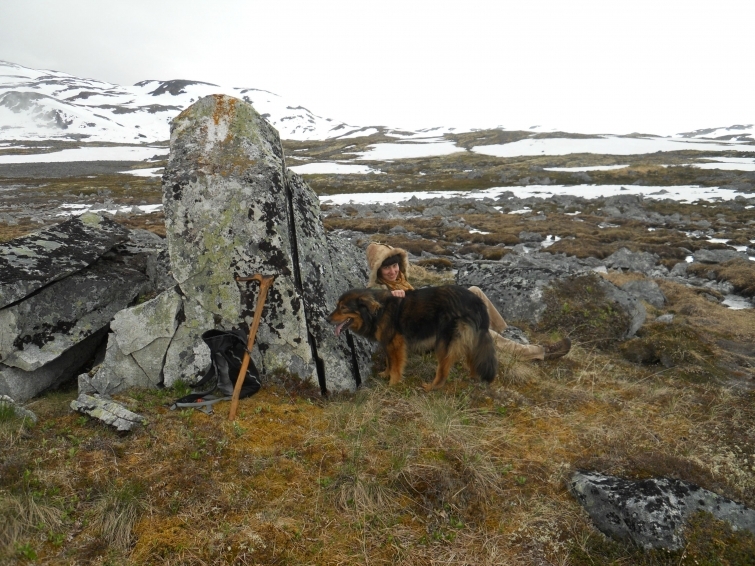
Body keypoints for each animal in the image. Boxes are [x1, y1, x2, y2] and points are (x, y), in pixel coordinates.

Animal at [328, 286, 500, 392]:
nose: (327, 319)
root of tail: (477, 302)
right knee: (473, 357)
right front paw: (385, 374)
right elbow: (389, 361)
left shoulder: (395, 343)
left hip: (444, 341)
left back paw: (432, 387)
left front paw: (393, 383)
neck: (378, 312)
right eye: (337, 306)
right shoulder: (388, 342)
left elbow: (396, 365)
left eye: (343, 308)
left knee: (443, 370)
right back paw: (473, 378)